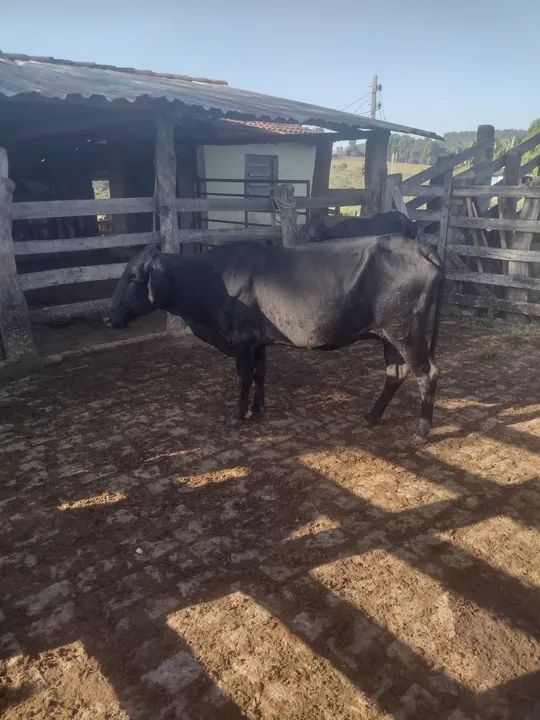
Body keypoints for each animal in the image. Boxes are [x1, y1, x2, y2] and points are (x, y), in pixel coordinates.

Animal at [104, 236, 442, 443]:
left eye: (134, 277)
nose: (107, 318)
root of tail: (420, 248)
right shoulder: (257, 342)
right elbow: (260, 373)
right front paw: (258, 408)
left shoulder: (241, 338)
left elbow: (244, 376)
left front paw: (238, 414)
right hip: (389, 336)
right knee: (395, 373)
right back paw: (372, 416)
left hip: (406, 333)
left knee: (427, 373)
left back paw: (421, 432)